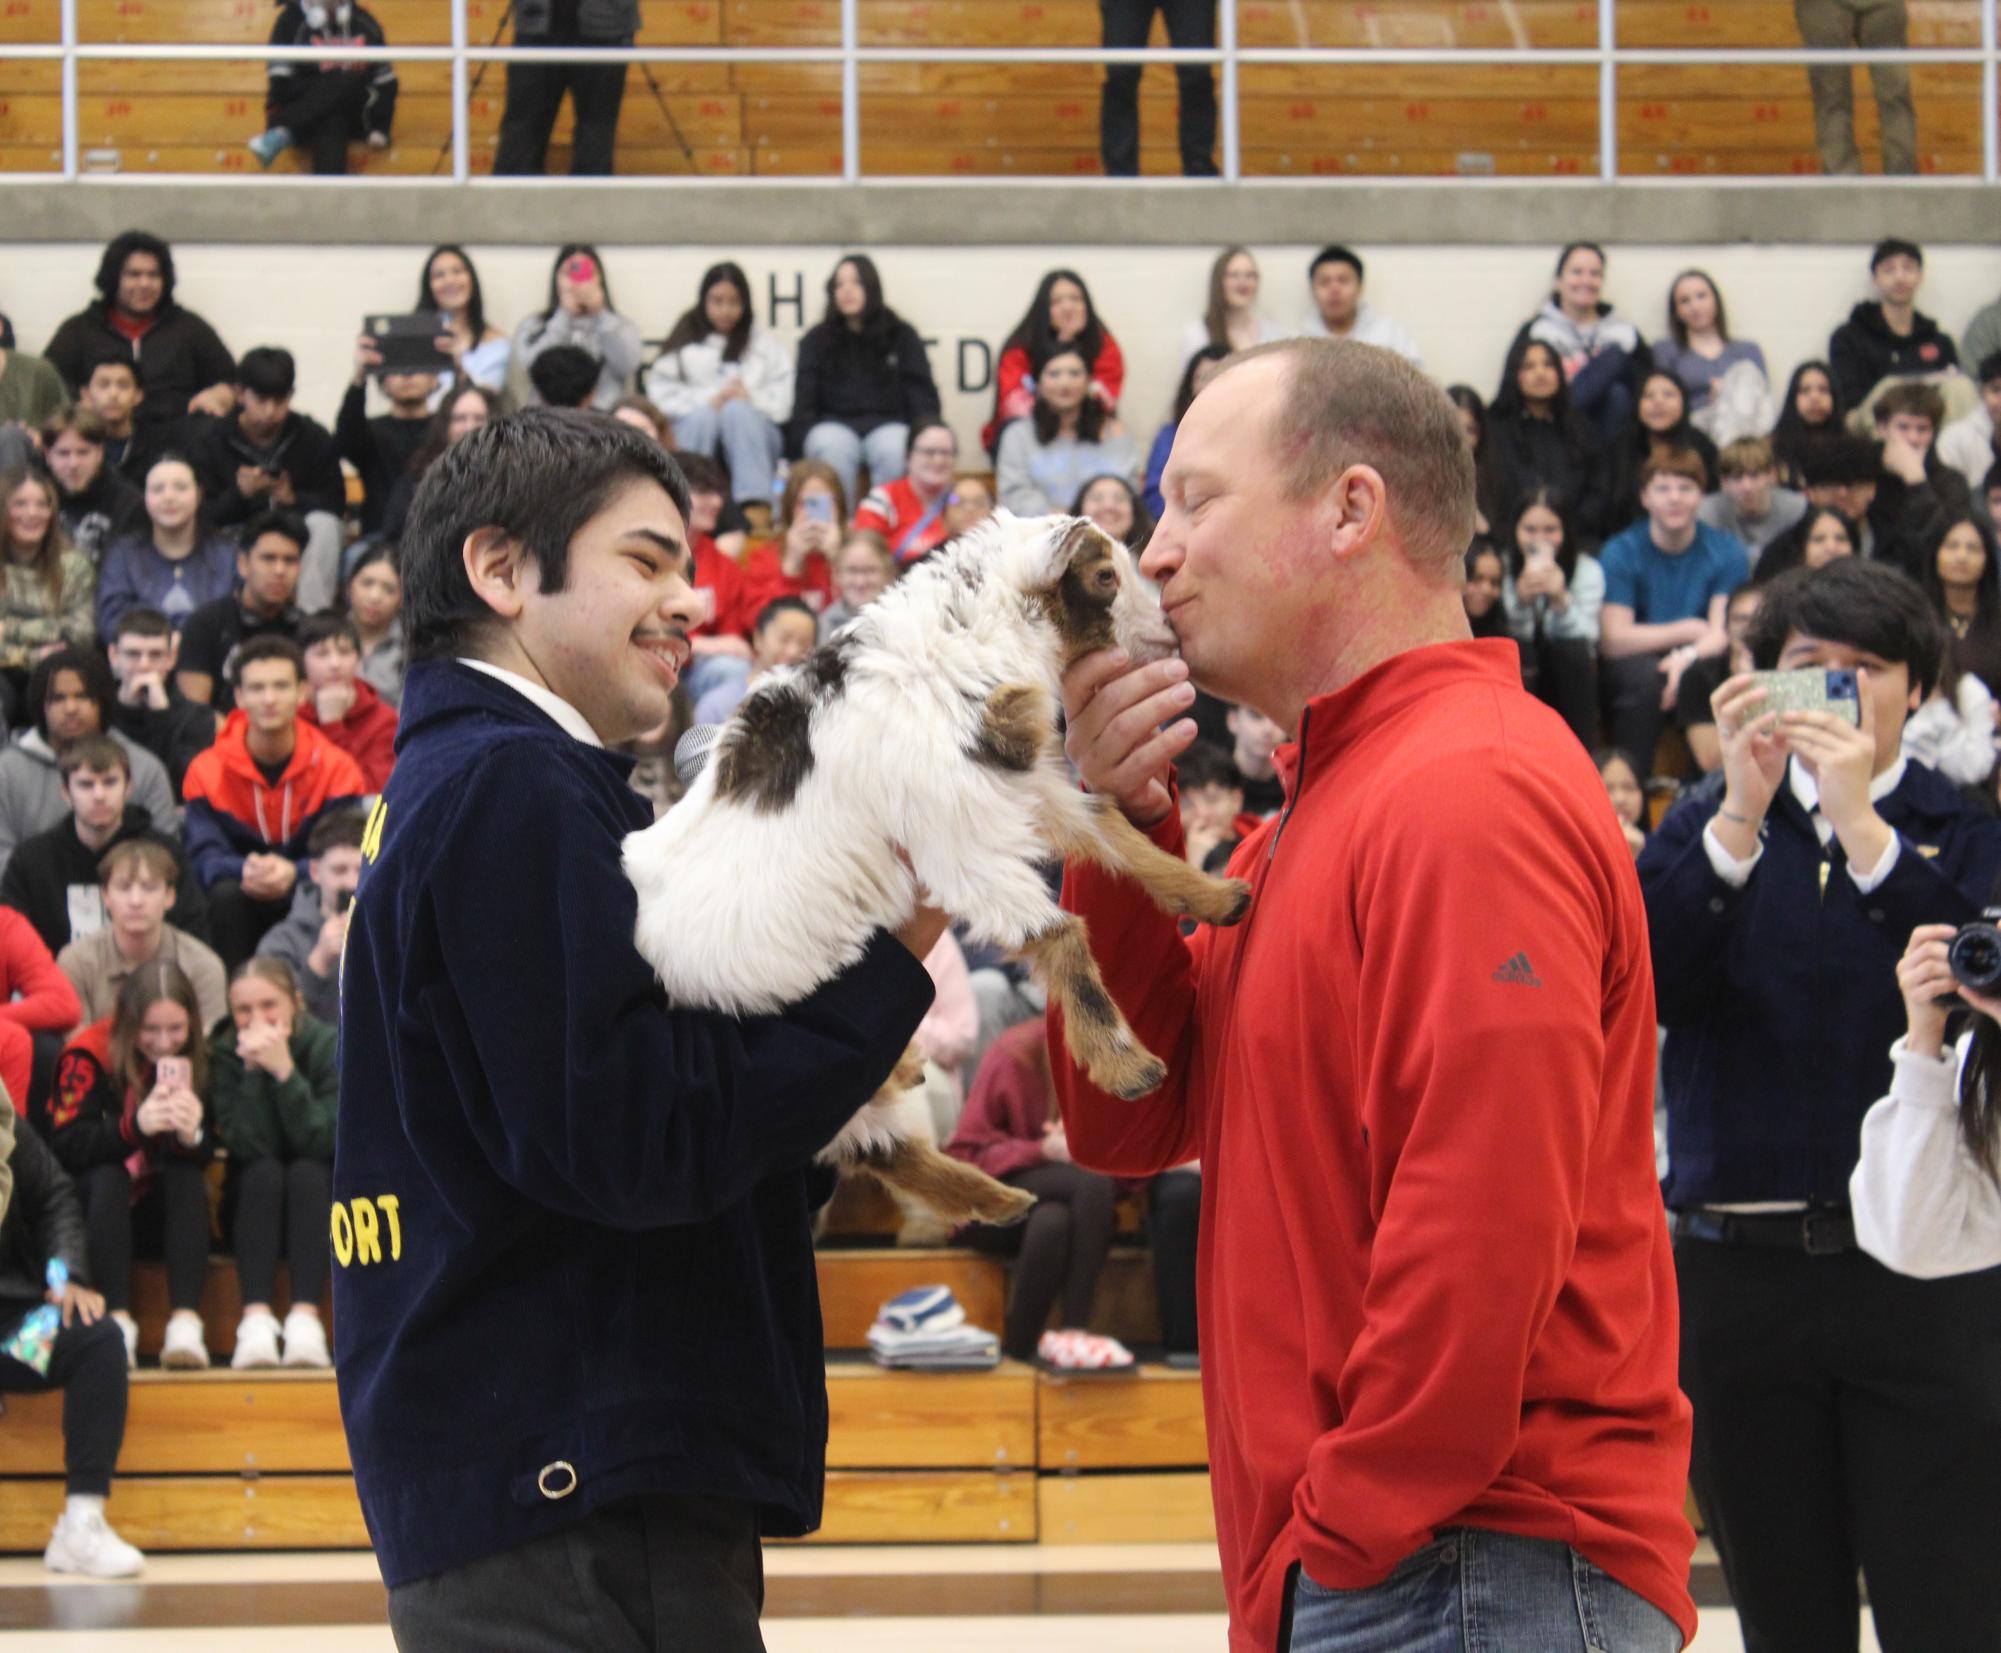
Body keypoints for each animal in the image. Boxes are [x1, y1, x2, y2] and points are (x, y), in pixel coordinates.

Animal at [624, 508, 1248, 1216]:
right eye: (1104, 576)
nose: (1170, 627)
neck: (966, 640)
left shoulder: (1017, 787)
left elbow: (1112, 830)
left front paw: (1218, 897)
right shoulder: (958, 841)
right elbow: (1061, 934)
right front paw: (1128, 1068)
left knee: (886, 1150)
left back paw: (994, 1187)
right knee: (878, 1146)